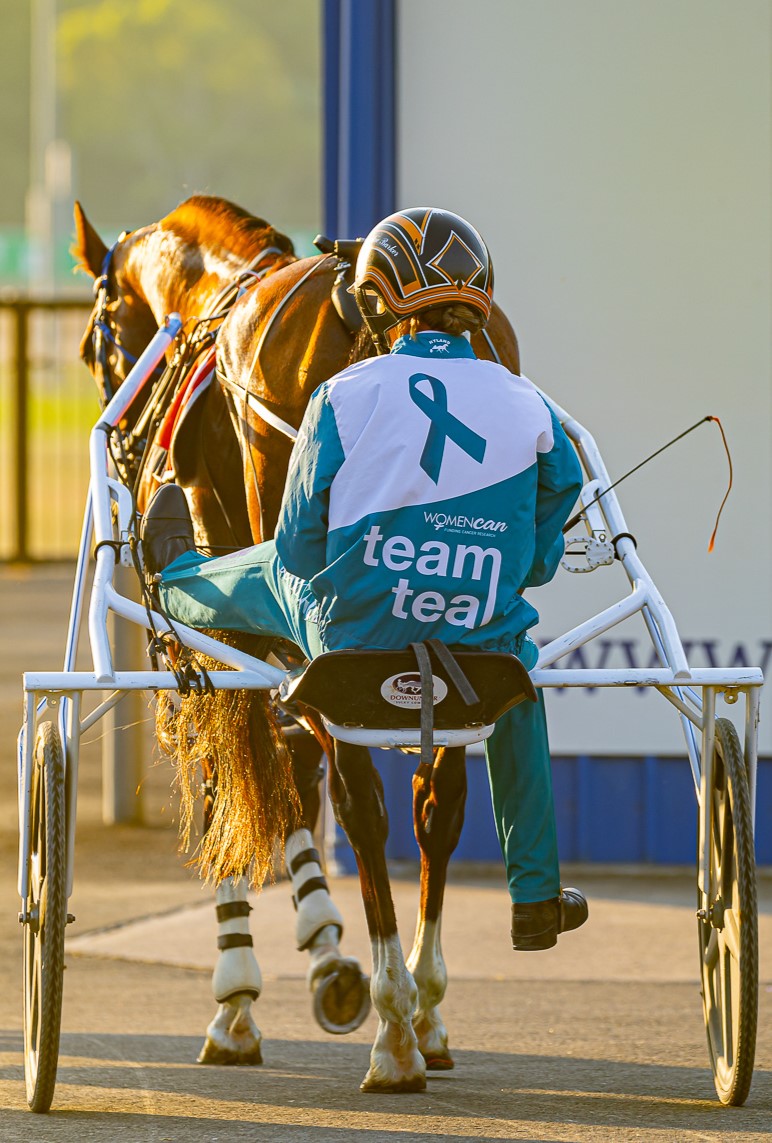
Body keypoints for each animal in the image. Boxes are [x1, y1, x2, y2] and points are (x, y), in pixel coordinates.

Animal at [72, 196, 521, 1088]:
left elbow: (240, 782)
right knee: (437, 800)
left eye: (96, 337)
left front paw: (243, 993)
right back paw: (425, 1001)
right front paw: (326, 952)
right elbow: (286, 767)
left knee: (361, 796)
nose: (123, 426)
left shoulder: (209, 647)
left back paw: (394, 1023)